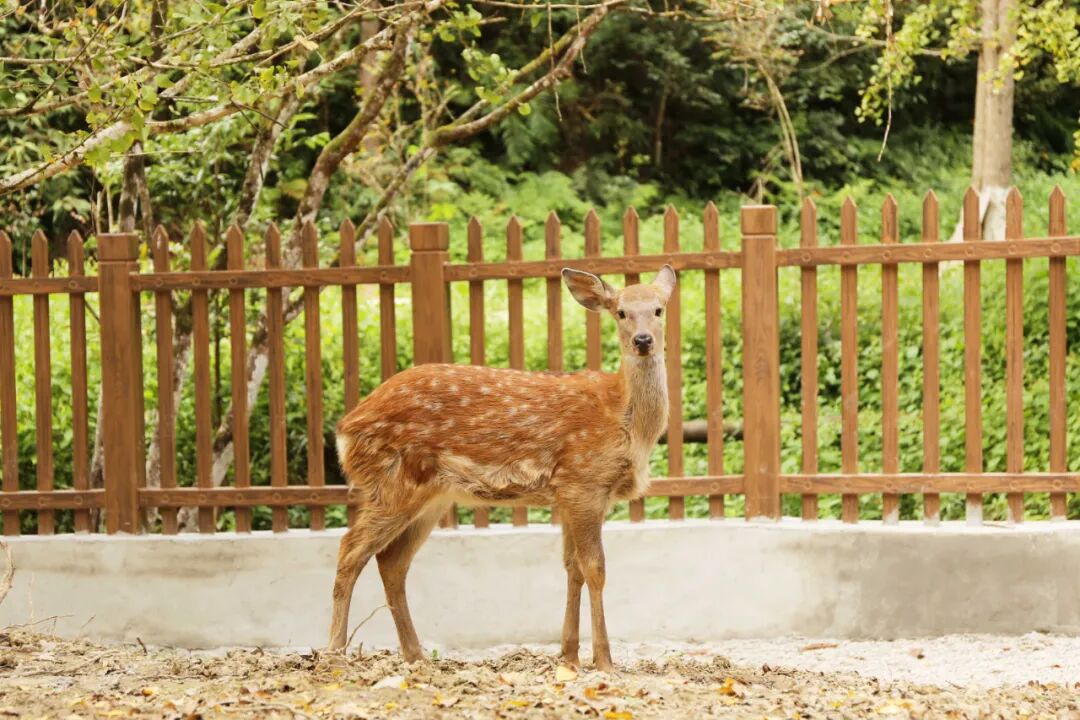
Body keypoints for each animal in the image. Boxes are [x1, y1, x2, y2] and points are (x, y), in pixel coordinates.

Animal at [328, 264, 676, 672]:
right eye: (621, 312)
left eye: (659, 309)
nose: (642, 340)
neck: (625, 421)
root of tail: (345, 428)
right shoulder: (584, 482)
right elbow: (595, 568)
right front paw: (604, 660)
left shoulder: (569, 494)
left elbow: (571, 568)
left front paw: (569, 654)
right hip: (392, 480)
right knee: (351, 550)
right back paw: (334, 651)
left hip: (431, 496)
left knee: (392, 561)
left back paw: (416, 655)